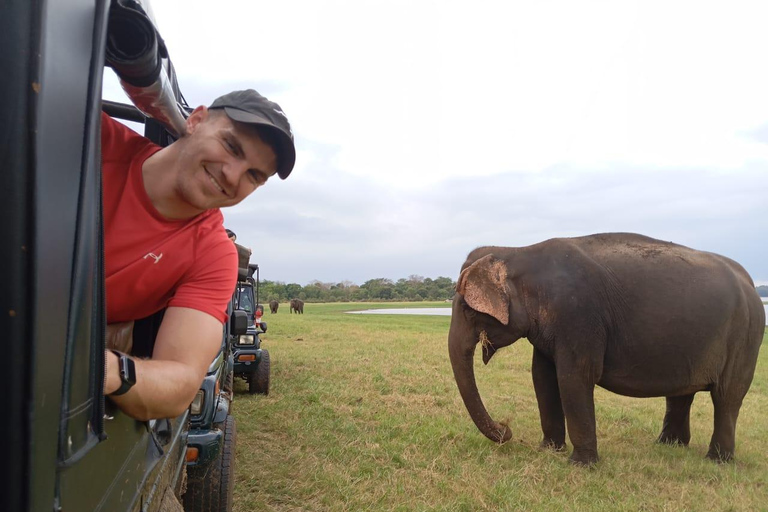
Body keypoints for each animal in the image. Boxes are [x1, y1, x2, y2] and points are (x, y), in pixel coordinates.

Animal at [448, 234, 764, 466]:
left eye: (467, 309)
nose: (506, 429)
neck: (518, 251)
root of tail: (750, 282)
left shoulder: (578, 315)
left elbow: (574, 377)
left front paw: (581, 465)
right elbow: (542, 377)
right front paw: (548, 451)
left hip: (746, 337)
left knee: (727, 396)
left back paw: (717, 461)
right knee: (681, 394)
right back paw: (670, 446)